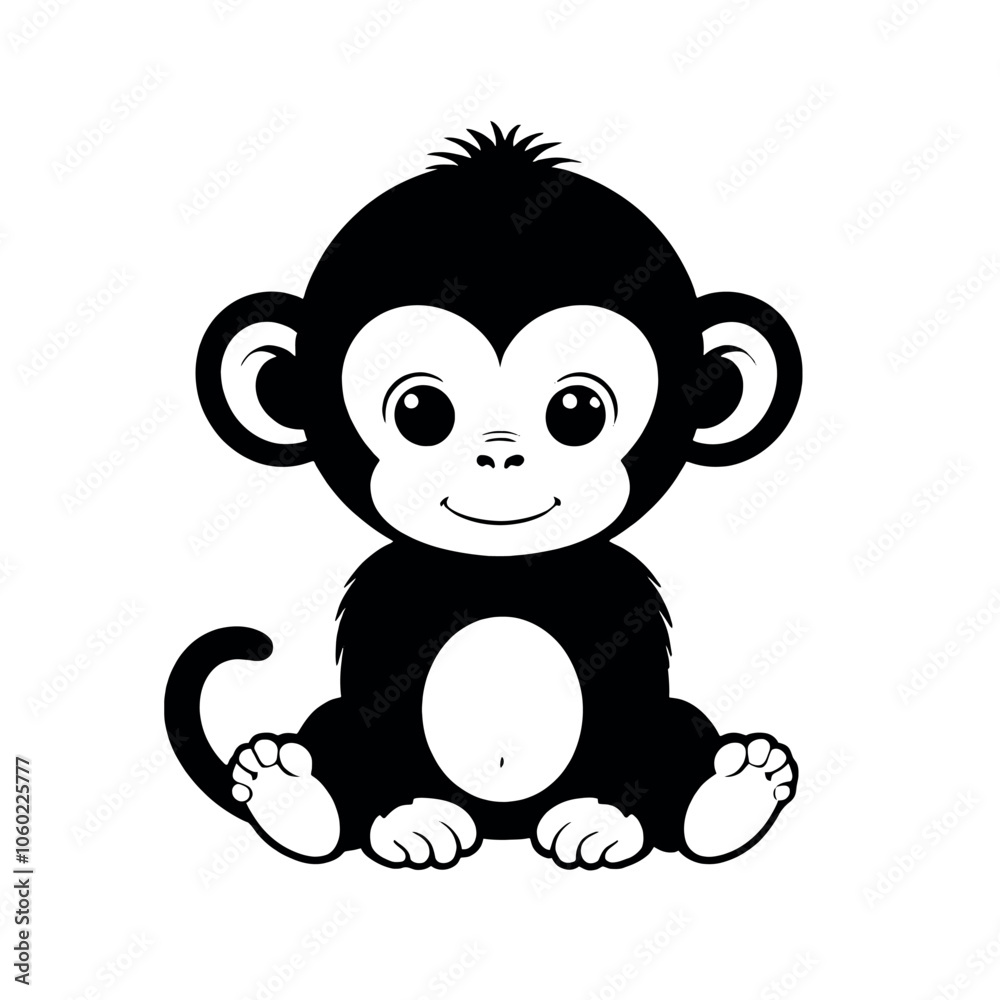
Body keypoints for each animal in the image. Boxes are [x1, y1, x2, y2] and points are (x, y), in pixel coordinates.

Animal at [165, 123, 802, 869]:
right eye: (419, 411)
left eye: (579, 411)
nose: (499, 453)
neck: (501, 572)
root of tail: (505, 827)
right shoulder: (390, 596)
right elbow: (376, 706)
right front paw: (406, 819)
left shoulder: (621, 597)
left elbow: (635, 707)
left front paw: (607, 820)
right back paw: (295, 798)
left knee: (673, 729)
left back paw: (727, 798)